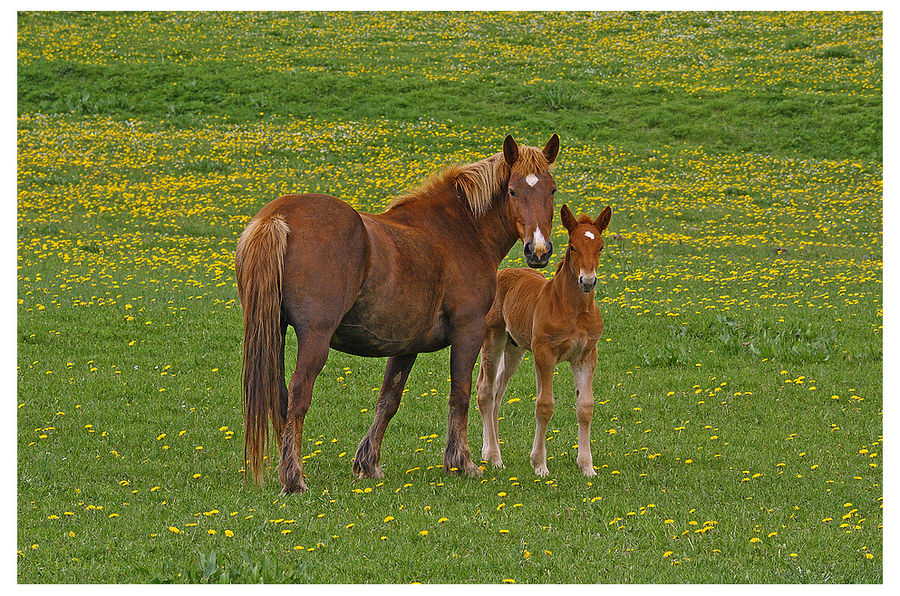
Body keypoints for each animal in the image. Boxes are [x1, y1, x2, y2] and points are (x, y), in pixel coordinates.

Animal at [236, 135, 560, 494]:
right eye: (513, 191)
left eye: (551, 190)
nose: (539, 250)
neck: (461, 228)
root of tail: (277, 218)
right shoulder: (469, 331)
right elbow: (460, 394)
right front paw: (462, 462)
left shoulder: (406, 345)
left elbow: (388, 399)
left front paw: (368, 464)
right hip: (314, 338)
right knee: (297, 395)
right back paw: (294, 478)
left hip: (275, 332)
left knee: (280, 395)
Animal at [474, 203, 608, 478]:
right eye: (572, 246)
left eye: (600, 246)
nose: (587, 281)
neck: (575, 310)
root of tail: (502, 272)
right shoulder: (544, 353)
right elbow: (544, 405)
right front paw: (539, 464)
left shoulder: (586, 355)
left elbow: (585, 407)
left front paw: (587, 466)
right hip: (492, 339)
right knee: (485, 391)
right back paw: (495, 457)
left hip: (514, 349)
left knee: (498, 390)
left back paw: (489, 451)